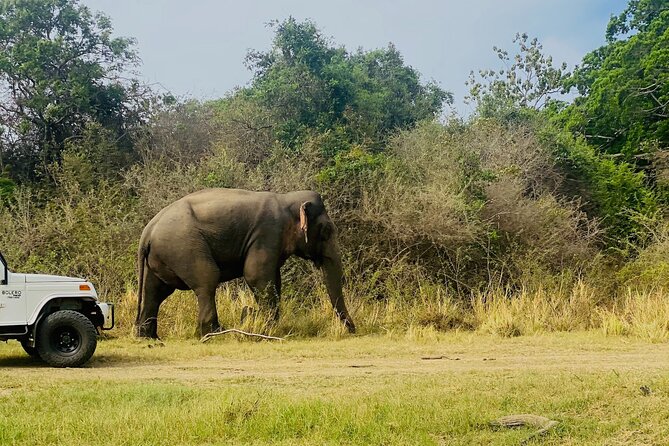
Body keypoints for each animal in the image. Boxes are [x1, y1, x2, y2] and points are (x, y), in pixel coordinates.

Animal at [135, 188, 356, 338]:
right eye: (326, 231)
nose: (354, 331)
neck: (286, 199)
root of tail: (147, 231)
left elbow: (274, 280)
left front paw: (264, 324)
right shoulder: (267, 233)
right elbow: (256, 276)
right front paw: (265, 328)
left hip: (161, 257)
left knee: (154, 291)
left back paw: (149, 337)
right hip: (183, 247)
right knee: (207, 280)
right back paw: (215, 333)